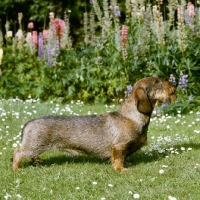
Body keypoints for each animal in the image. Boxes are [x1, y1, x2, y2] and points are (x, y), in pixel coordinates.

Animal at [11, 77, 176, 171]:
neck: (131, 116)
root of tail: (28, 123)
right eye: (157, 82)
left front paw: (127, 165)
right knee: (18, 152)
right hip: (33, 146)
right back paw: (16, 168)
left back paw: (38, 161)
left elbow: (124, 159)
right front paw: (121, 169)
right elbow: (118, 159)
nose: (175, 87)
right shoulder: (119, 146)